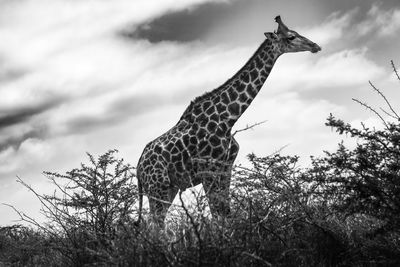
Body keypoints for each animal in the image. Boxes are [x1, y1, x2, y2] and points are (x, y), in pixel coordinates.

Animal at [136, 16, 320, 226]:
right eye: (291, 37)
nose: (315, 46)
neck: (229, 119)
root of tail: (138, 168)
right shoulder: (210, 170)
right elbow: (218, 214)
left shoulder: (225, 168)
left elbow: (225, 213)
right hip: (157, 186)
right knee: (154, 224)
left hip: (169, 188)